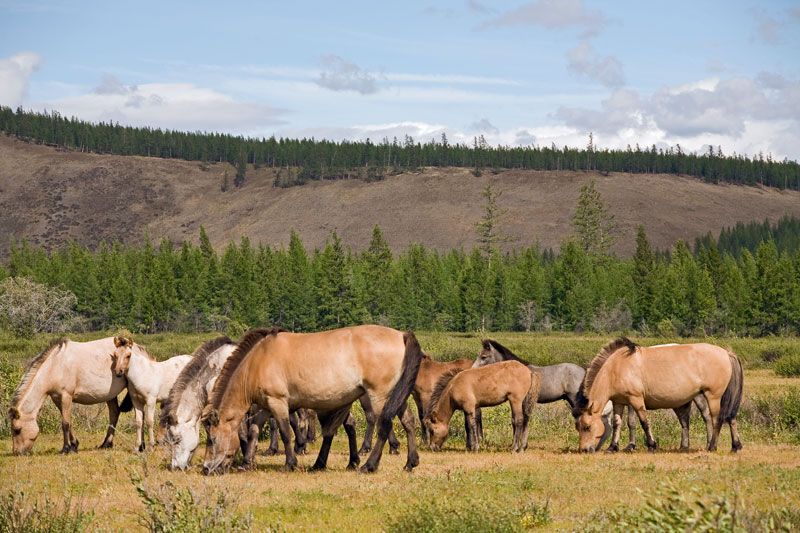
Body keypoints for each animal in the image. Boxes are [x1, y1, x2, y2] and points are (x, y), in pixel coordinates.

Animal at [202, 324, 424, 474]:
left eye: (212, 440)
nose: (205, 468)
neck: (258, 360)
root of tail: (401, 335)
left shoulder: (277, 402)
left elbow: (285, 433)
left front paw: (289, 463)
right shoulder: (266, 406)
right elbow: (254, 430)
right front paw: (247, 462)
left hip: (379, 396)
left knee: (384, 426)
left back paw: (369, 465)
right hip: (396, 396)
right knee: (408, 422)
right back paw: (410, 463)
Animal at [576, 338, 744, 450]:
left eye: (587, 427)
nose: (584, 450)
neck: (617, 367)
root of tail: (726, 352)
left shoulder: (636, 400)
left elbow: (644, 422)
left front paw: (651, 445)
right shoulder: (619, 402)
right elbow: (617, 423)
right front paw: (613, 447)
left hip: (713, 396)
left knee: (716, 419)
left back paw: (712, 446)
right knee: (727, 418)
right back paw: (734, 446)